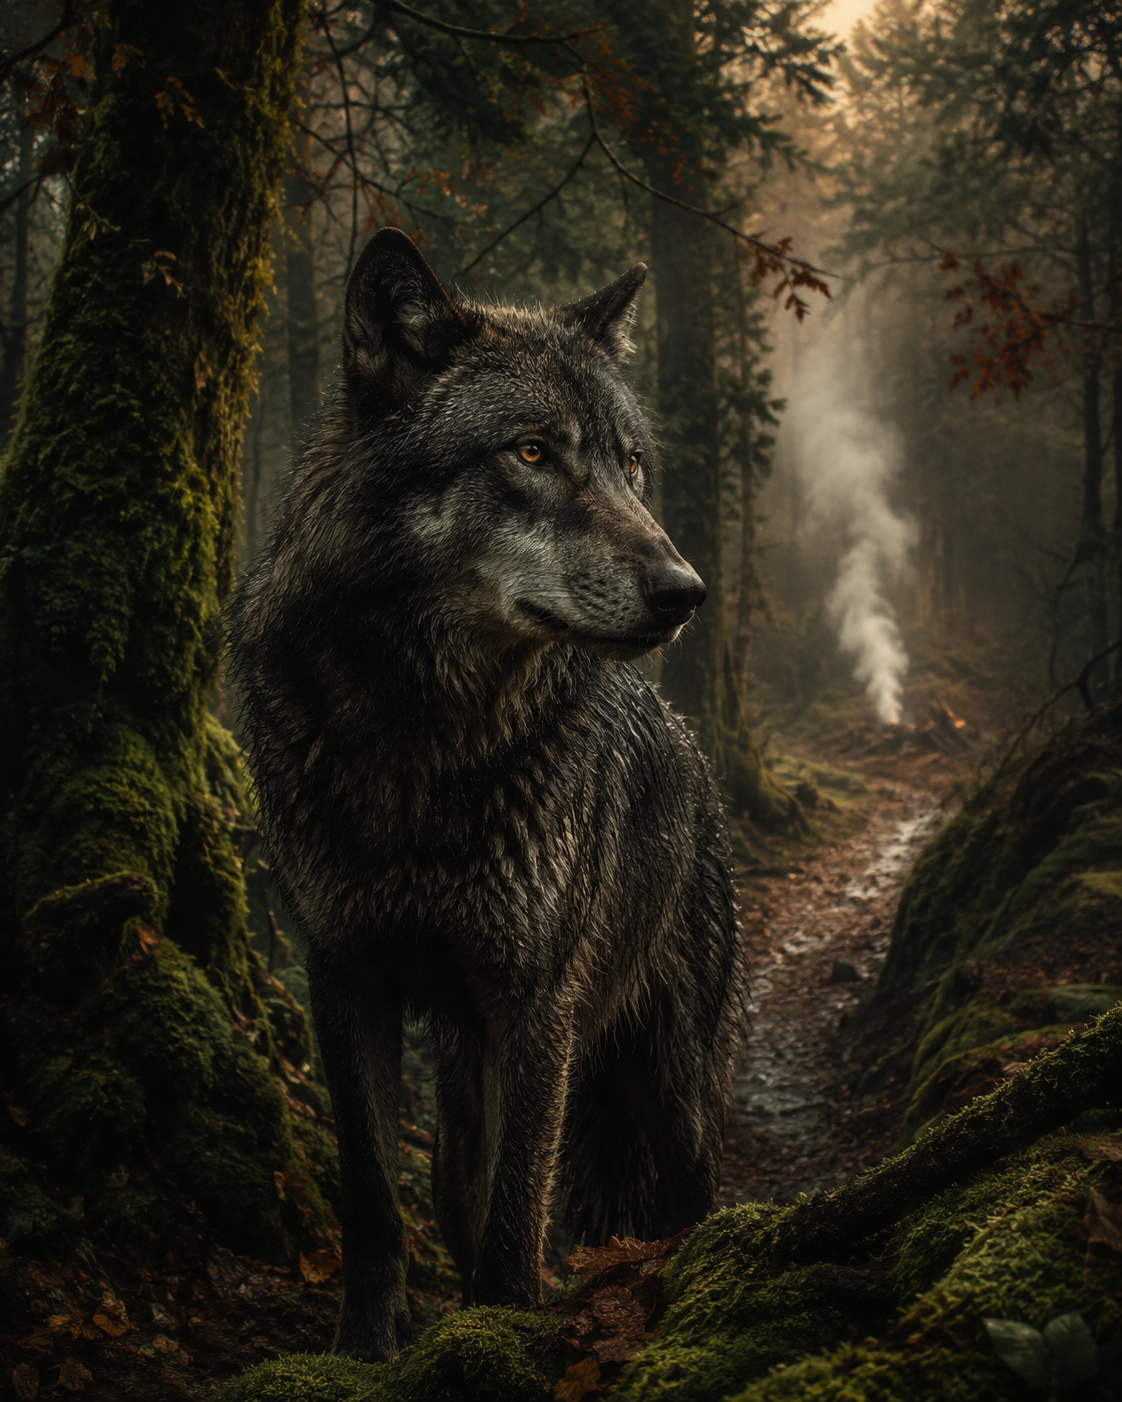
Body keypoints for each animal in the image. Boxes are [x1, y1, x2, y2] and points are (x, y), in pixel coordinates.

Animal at [227, 228, 743, 1363]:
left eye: (629, 465)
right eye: (532, 453)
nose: (685, 592)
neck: (423, 742)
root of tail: (695, 754)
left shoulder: (538, 1000)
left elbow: (521, 1207)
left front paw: (508, 1326)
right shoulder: (346, 976)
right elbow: (376, 1198)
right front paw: (367, 1348)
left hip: (670, 1075)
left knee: (691, 1192)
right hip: (470, 1059)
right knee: (456, 1192)